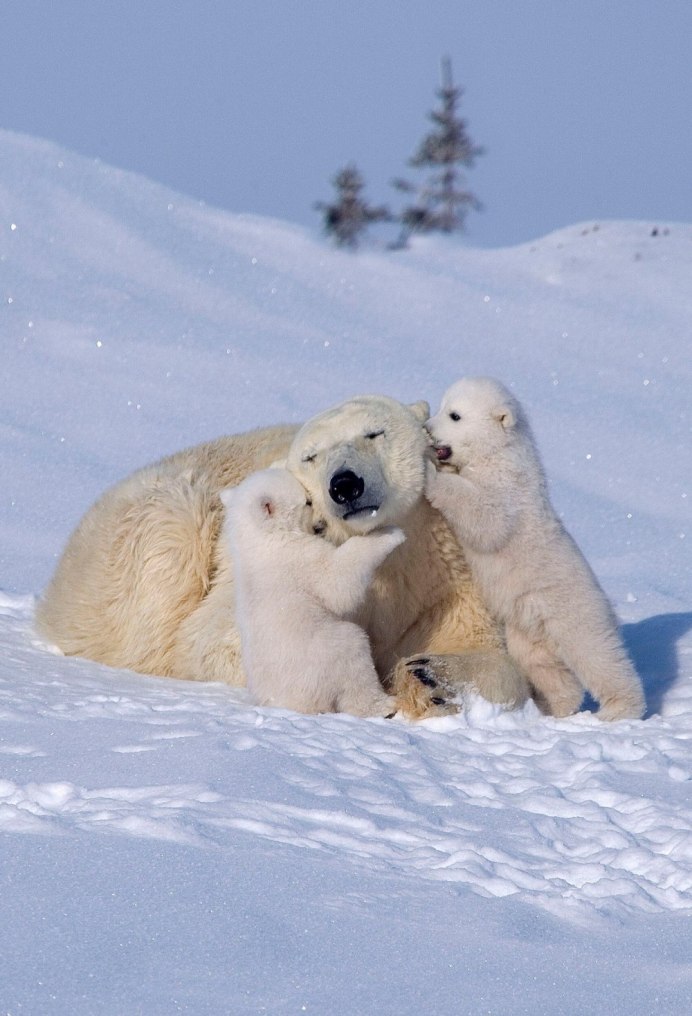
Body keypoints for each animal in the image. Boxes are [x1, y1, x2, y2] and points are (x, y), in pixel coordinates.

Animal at [35, 392, 524, 719]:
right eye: (311, 456)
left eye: (375, 432)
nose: (345, 484)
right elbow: (213, 639)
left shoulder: (444, 569)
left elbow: (485, 649)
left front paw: (431, 678)